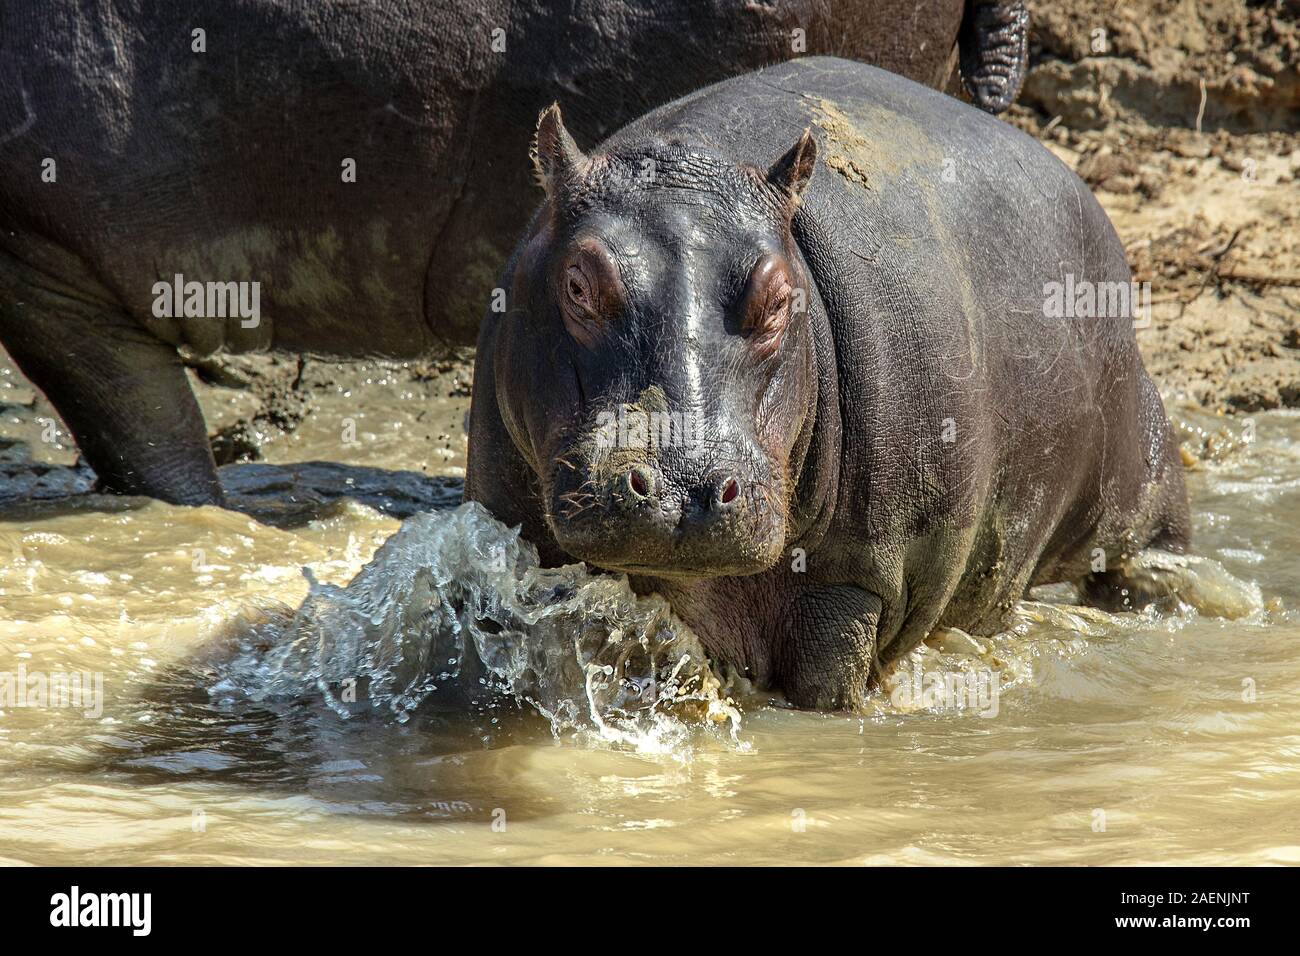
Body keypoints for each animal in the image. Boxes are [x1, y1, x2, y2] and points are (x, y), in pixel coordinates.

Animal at [465, 54, 1190, 712]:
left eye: (782, 298)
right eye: (577, 283)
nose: (683, 486)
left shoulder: (853, 583)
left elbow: (829, 689)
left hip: (1138, 465)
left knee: (1149, 543)